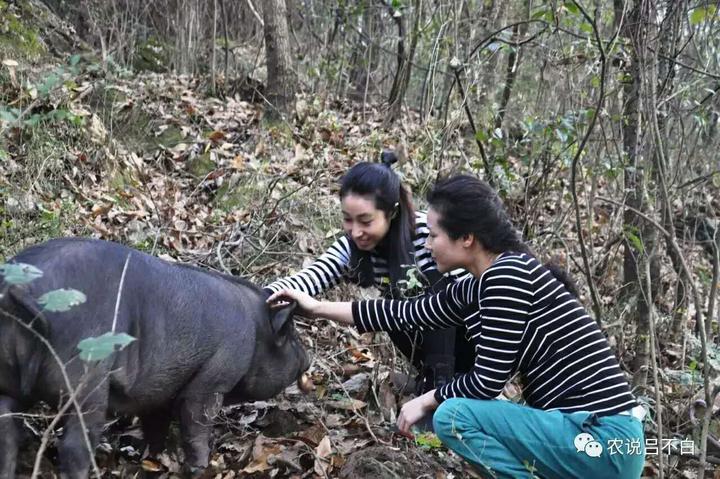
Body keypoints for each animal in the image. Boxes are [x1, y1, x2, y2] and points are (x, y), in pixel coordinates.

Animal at [0, 238, 310, 478]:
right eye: (292, 336)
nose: (307, 359)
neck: (256, 332)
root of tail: (20, 289)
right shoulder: (214, 378)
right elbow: (197, 421)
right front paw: (201, 468)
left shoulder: (159, 390)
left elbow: (156, 423)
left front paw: (151, 457)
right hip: (85, 379)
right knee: (74, 447)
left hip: (7, 382)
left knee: (7, 435)